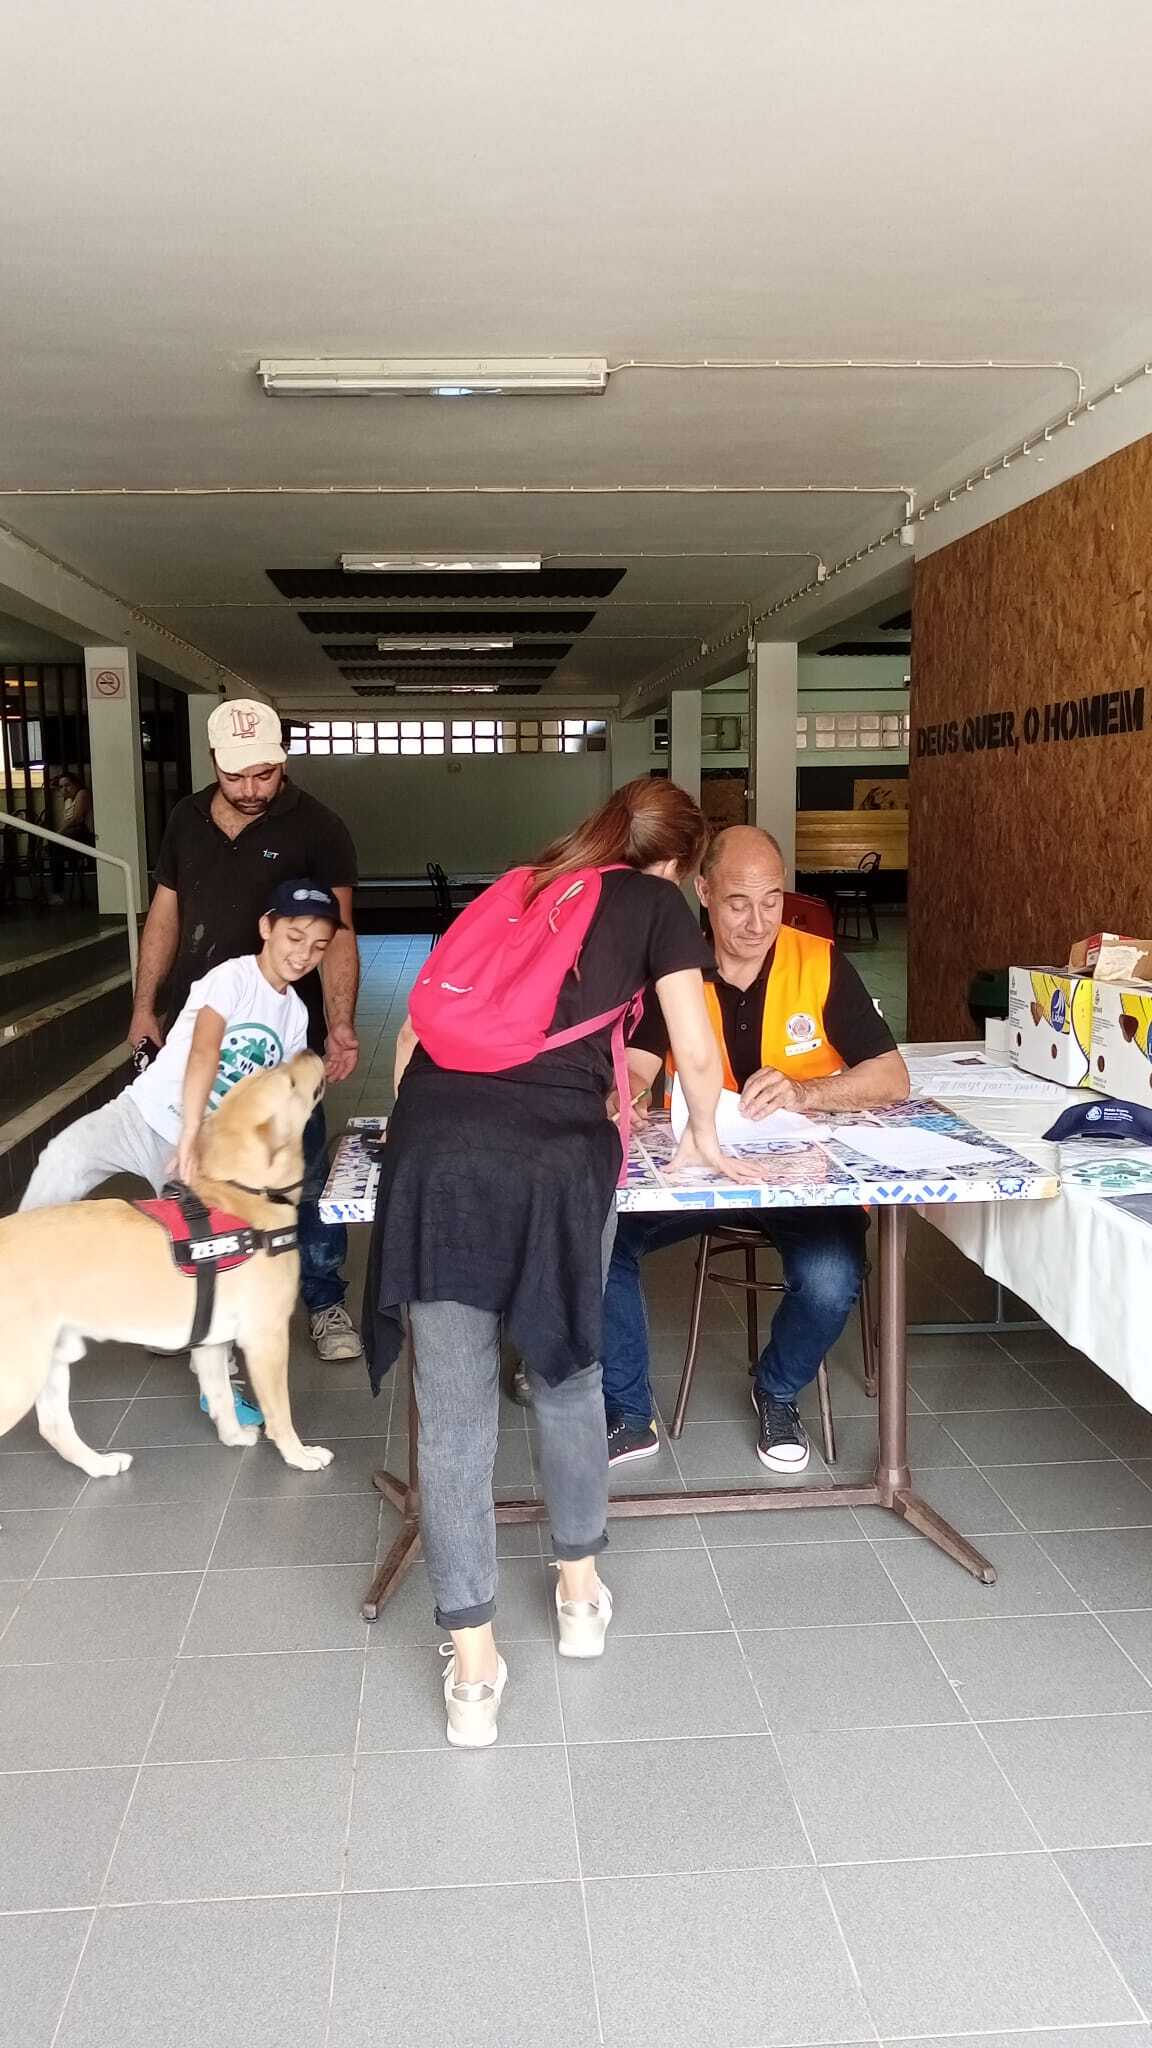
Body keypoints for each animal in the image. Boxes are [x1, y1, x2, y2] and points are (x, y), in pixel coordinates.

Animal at [0, 1053, 334, 1477]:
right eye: (289, 1082)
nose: (310, 1051)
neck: (240, 1193)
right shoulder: (266, 1338)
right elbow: (280, 1412)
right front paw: (299, 1455)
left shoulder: (210, 1340)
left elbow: (220, 1394)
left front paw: (233, 1436)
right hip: (18, 1375)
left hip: (50, 1359)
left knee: (55, 1427)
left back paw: (100, 1465)